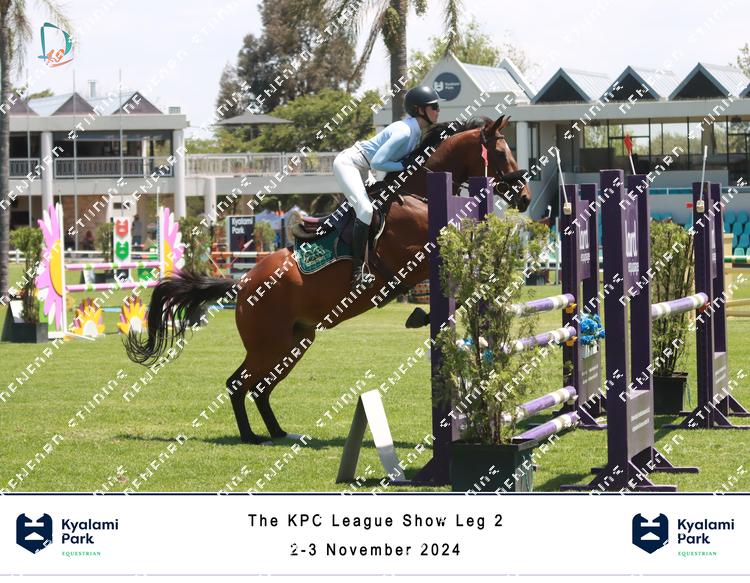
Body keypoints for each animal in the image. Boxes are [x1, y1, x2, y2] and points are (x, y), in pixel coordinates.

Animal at [125, 115, 532, 444]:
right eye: (500, 153)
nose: (525, 197)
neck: (416, 194)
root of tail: (242, 285)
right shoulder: (414, 254)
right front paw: (423, 314)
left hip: (295, 342)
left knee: (260, 388)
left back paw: (278, 432)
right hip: (268, 345)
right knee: (238, 384)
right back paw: (250, 437)